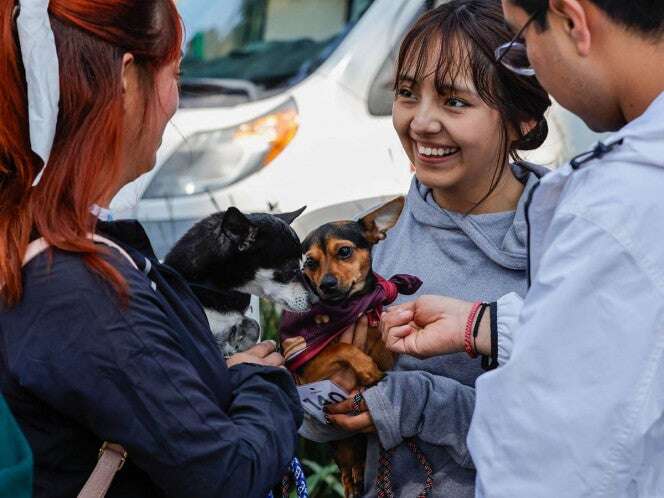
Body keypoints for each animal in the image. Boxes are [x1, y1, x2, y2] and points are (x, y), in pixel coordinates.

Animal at [278, 196, 420, 496]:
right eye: (310, 262)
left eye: (344, 251)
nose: (327, 284)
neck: (348, 308)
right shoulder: (310, 371)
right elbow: (341, 348)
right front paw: (366, 368)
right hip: (340, 447)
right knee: (346, 469)